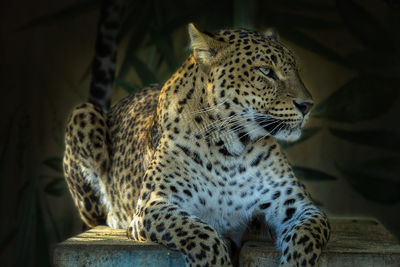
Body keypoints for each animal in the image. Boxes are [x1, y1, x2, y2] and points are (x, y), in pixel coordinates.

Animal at [62, 0, 330, 266]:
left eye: (296, 70)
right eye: (265, 71)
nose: (308, 105)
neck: (231, 150)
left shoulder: (298, 205)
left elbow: (307, 237)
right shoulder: (153, 204)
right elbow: (201, 235)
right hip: (83, 113)